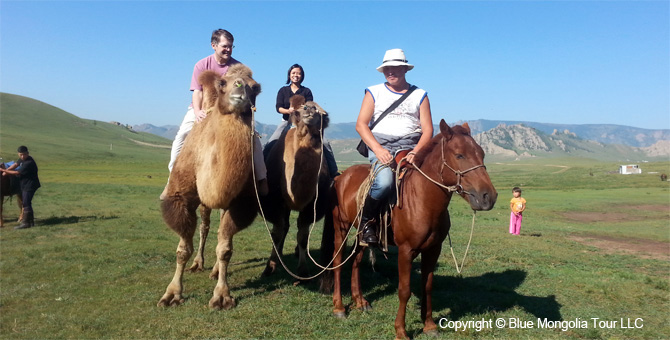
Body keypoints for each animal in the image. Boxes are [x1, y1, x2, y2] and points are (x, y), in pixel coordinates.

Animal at [158, 62, 262, 310]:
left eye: (256, 88)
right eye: (223, 82)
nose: (241, 87)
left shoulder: (240, 202)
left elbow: (225, 249)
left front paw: (222, 296)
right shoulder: (180, 197)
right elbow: (182, 249)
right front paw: (172, 293)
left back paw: (214, 270)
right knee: (204, 226)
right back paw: (198, 264)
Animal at [260, 94, 330, 278]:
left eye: (322, 113)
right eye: (300, 110)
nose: (310, 109)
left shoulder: (312, 205)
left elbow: (303, 236)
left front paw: (303, 271)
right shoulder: (274, 202)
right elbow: (277, 233)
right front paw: (269, 267)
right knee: (284, 227)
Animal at [320, 121, 498, 338]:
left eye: (482, 153)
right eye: (459, 155)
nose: (488, 196)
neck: (423, 199)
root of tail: (341, 178)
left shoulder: (433, 250)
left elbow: (427, 286)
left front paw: (429, 325)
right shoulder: (405, 251)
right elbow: (404, 290)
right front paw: (401, 331)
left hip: (363, 233)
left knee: (356, 260)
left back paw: (360, 301)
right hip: (341, 227)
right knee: (338, 262)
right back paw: (339, 308)